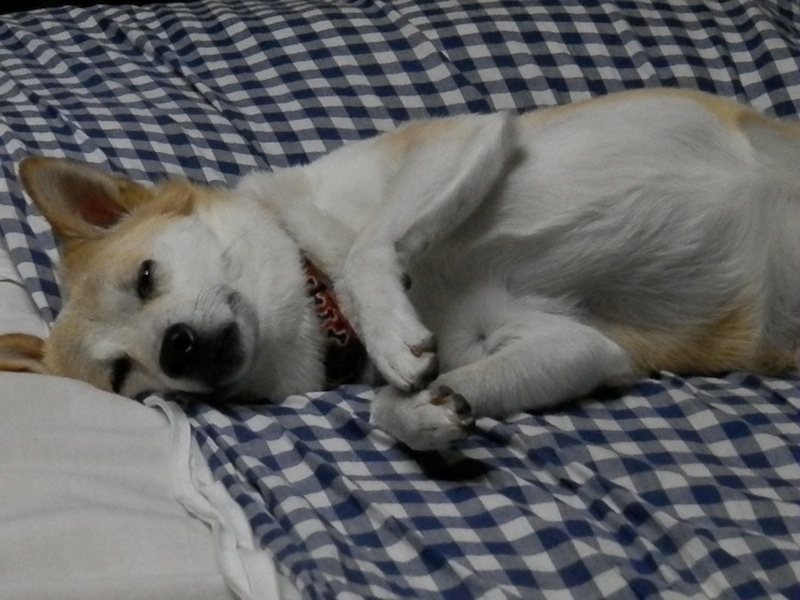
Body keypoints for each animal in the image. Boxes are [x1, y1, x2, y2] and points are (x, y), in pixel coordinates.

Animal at [1, 89, 798, 451]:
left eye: (145, 278)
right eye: (123, 378)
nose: (178, 350)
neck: (317, 287)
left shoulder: (459, 140)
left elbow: (367, 250)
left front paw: (391, 336)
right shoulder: (572, 344)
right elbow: (407, 398)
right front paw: (425, 412)